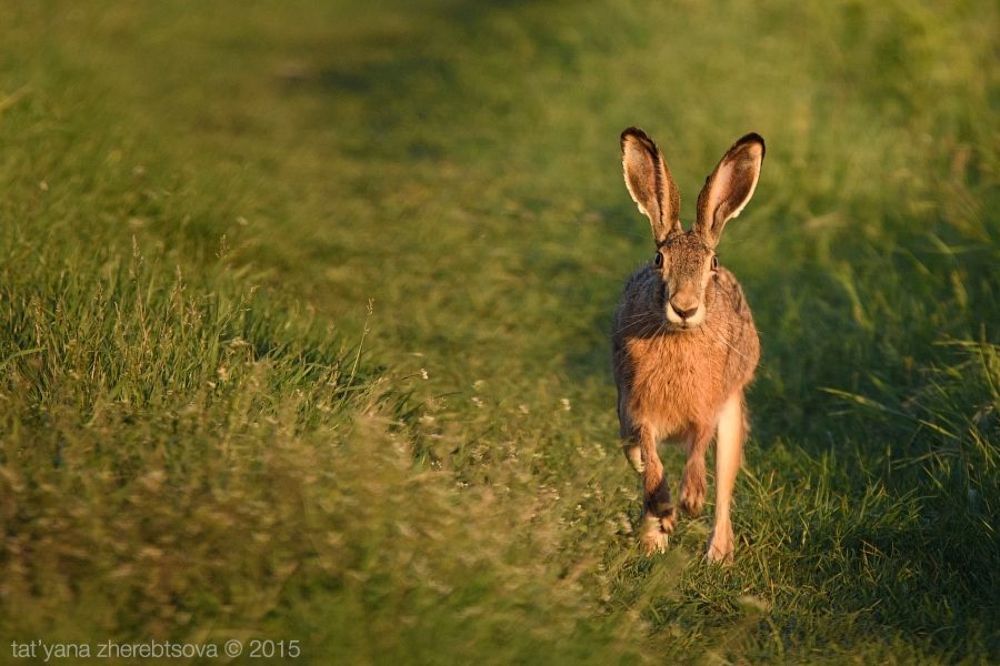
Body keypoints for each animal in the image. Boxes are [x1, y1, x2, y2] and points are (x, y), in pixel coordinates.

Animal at [612, 127, 764, 561]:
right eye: (658, 259)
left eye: (712, 264)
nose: (684, 307)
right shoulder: (636, 407)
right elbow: (650, 456)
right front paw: (664, 509)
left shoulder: (710, 404)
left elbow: (699, 444)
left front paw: (691, 498)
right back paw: (654, 536)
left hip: (732, 416)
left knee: (725, 485)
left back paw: (718, 556)